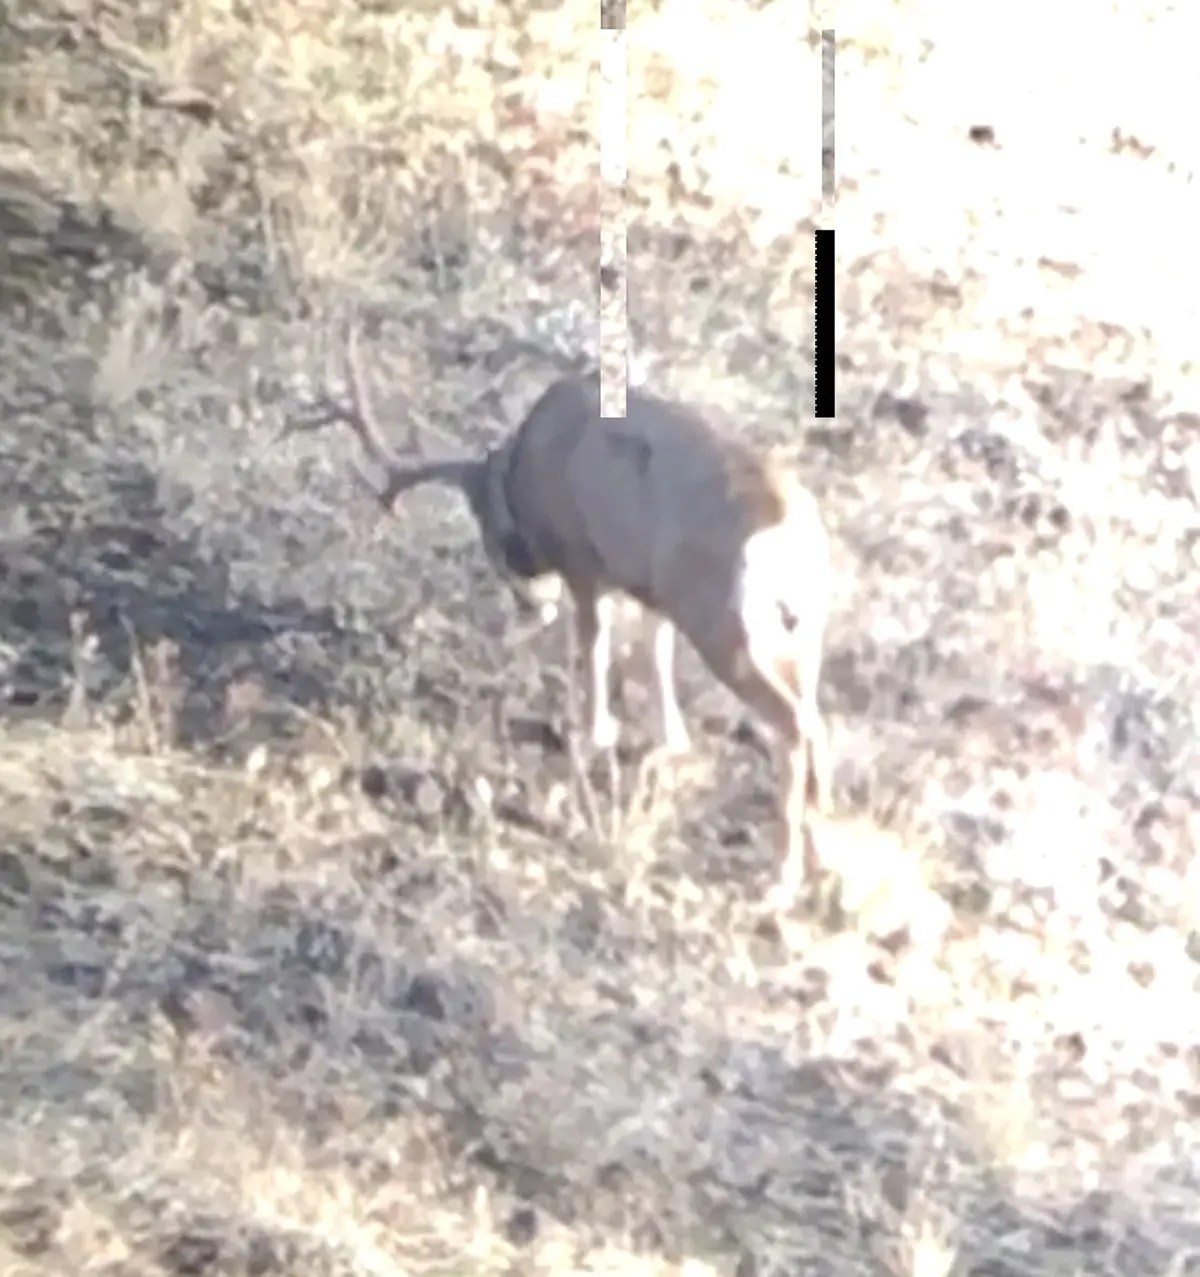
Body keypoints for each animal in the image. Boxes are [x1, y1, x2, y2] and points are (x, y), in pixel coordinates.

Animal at [288, 339, 833, 904]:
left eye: (489, 534)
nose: (530, 604)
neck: (529, 467)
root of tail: (787, 529)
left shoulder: (584, 563)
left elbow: (594, 651)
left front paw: (592, 744)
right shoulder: (651, 591)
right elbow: (655, 661)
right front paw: (666, 743)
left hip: (724, 623)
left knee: (793, 724)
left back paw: (782, 878)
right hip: (799, 629)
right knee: (816, 722)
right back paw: (821, 852)